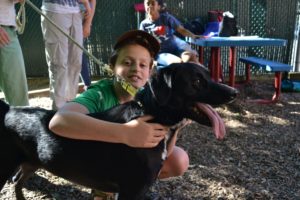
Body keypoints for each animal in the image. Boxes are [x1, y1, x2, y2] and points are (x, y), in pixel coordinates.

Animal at [0, 62, 237, 198]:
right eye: (196, 80)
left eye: (208, 75)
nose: (234, 92)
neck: (149, 113)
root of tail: (9, 109)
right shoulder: (132, 189)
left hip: (31, 163)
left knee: (18, 183)